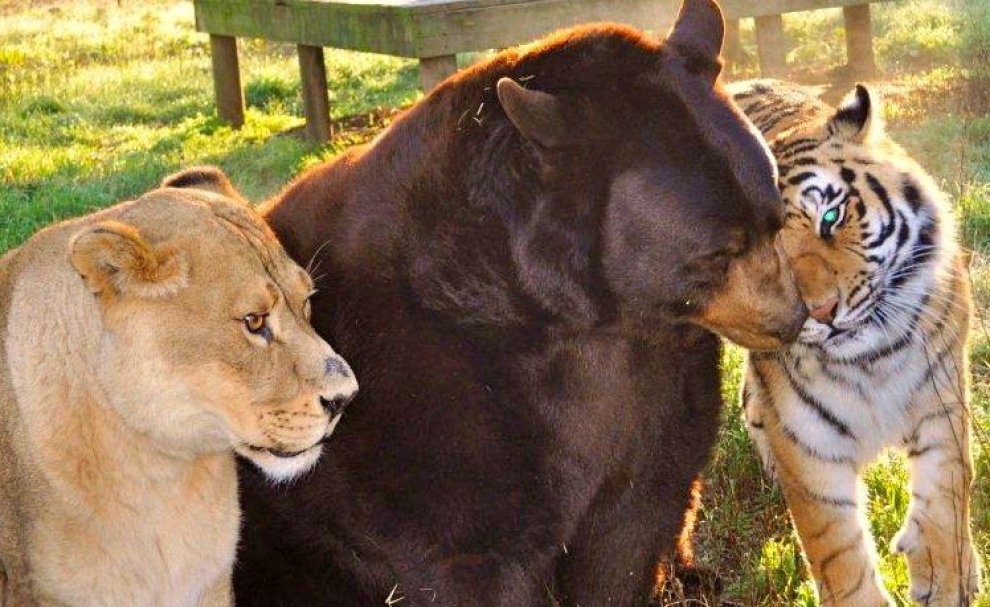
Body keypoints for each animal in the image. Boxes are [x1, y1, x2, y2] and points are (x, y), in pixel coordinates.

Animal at [729, 79, 981, 606]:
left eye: (830, 216)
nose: (822, 311)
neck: (870, 359)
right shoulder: (808, 444)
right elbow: (836, 548)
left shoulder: (942, 398)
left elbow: (948, 490)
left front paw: (945, 578)